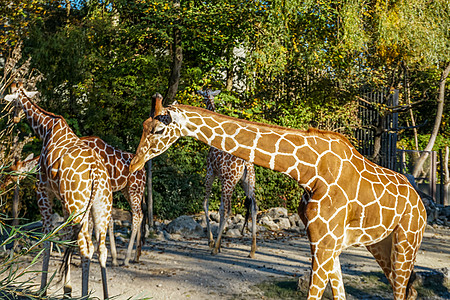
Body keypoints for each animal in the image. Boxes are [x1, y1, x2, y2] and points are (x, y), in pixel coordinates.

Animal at [2, 135, 146, 264]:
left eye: (12, 172)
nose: (3, 182)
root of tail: (144, 171)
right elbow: (105, 222)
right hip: (127, 190)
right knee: (139, 215)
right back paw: (136, 257)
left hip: (134, 189)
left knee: (137, 215)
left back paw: (126, 259)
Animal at [4, 82, 112, 298]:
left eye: (13, 100)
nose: (15, 118)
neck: (45, 129)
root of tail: (97, 173)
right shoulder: (63, 201)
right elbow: (65, 238)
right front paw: (66, 289)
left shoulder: (43, 190)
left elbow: (48, 238)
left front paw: (43, 289)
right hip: (99, 207)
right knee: (101, 248)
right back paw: (104, 296)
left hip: (77, 206)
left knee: (86, 248)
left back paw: (85, 295)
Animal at [196, 89, 256, 258]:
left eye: (203, 94)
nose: (198, 93)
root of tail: (246, 163)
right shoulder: (222, 179)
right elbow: (221, 209)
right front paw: (220, 243)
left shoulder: (211, 172)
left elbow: (206, 203)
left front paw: (212, 242)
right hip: (248, 182)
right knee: (254, 207)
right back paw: (252, 250)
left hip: (230, 182)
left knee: (229, 209)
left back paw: (215, 249)